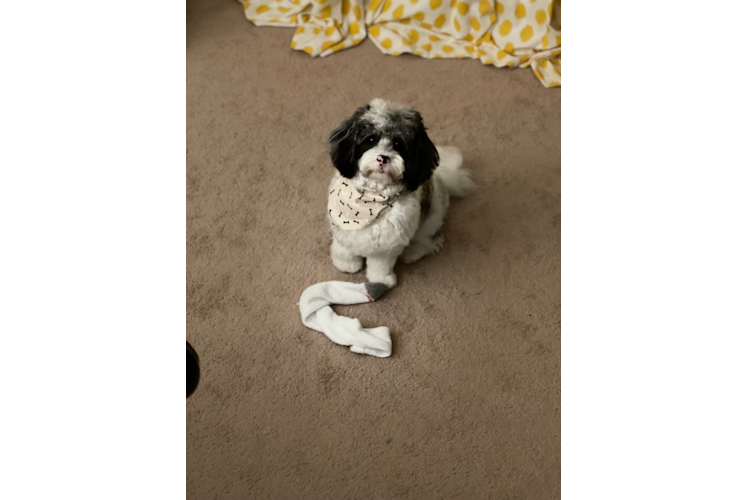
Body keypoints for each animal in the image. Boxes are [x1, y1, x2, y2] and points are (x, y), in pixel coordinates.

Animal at [326, 97, 474, 288]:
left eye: (398, 144)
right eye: (371, 139)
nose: (383, 158)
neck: (371, 196)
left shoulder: (387, 244)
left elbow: (380, 265)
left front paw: (381, 280)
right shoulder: (342, 228)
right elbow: (343, 249)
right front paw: (346, 264)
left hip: (430, 220)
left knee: (428, 240)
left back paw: (412, 252)